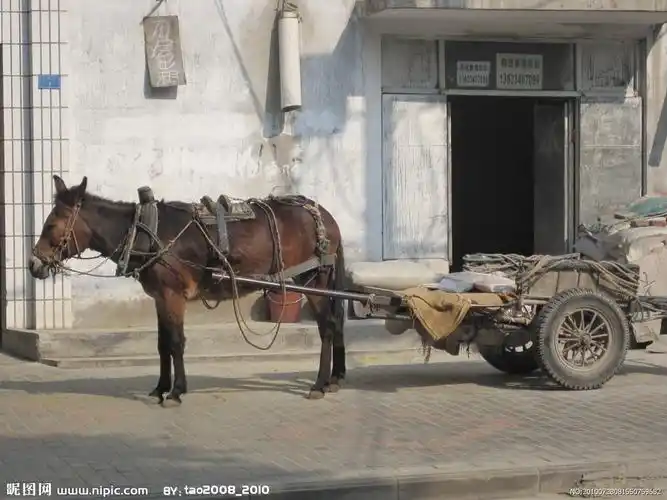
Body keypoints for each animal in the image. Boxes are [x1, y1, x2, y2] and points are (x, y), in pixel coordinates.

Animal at [28, 175, 347, 404]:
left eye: (51, 224)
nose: (33, 264)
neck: (144, 233)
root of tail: (325, 215)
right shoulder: (160, 297)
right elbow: (162, 344)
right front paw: (159, 388)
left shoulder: (173, 295)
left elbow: (176, 342)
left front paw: (176, 391)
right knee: (335, 324)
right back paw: (334, 379)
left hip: (312, 279)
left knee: (327, 327)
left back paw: (320, 384)